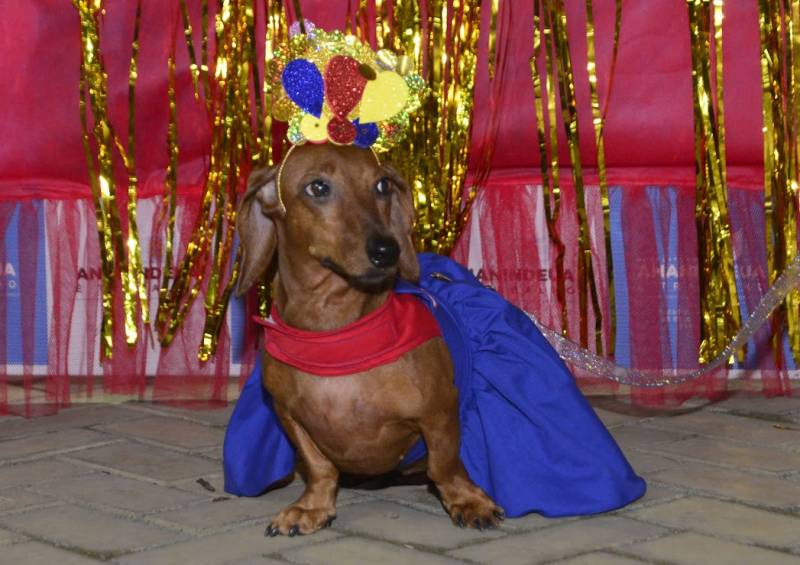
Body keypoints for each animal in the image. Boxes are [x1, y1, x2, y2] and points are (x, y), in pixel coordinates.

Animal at [234, 143, 504, 536]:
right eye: (317, 187)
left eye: (382, 186)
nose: (387, 250)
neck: (335, 334)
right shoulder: (288, 414)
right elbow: (318, 466)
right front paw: (312, 507)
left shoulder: (440, 411)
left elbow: (444, 463)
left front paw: (468, 500)